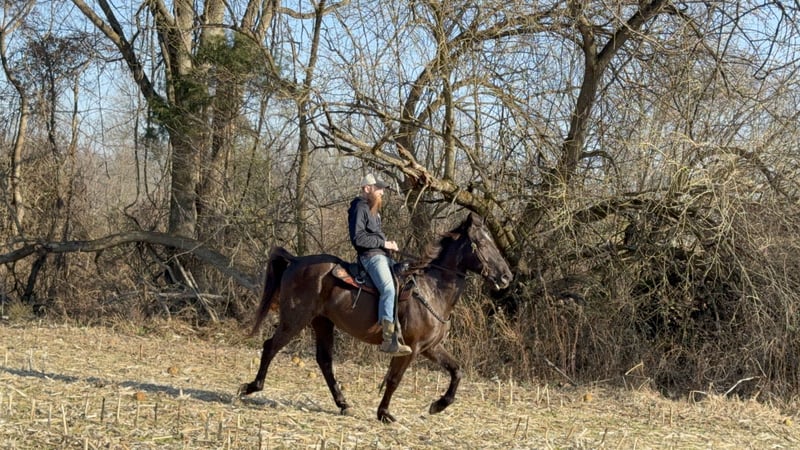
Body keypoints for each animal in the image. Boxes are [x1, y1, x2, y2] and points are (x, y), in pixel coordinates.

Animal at [238, 212, 513, 422]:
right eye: (482, 243)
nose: (506, 276)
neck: (431, 290)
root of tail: (295, 261)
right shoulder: (410, 348)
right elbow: (394, 379)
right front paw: (384, 413)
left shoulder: (431, 348)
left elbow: (456, 371)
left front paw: (438, 405)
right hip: (295, 319)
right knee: (271, 346)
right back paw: (251, 387)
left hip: (322, 323)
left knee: (324, 361)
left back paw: (343, 403)